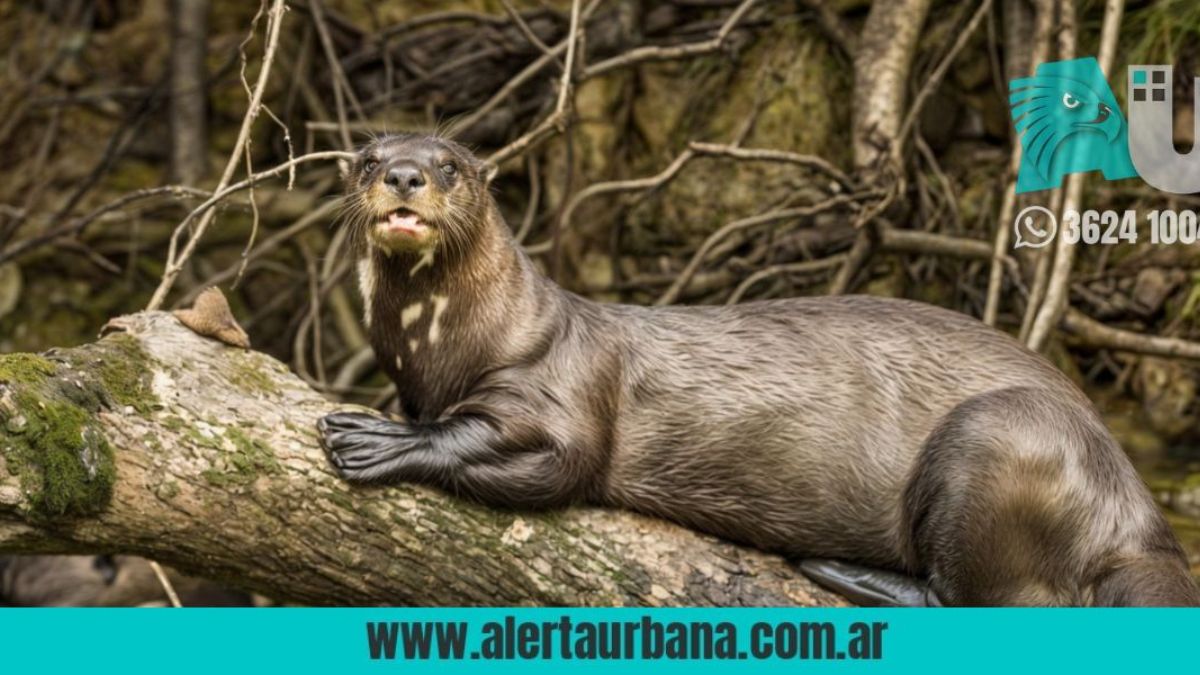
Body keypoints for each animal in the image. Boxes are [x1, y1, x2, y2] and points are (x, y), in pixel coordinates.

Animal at [319, 133, 1200, 607]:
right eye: (366, 157)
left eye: (449, 163)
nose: (404, 174)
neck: (448, 347)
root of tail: (1137, 517)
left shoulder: (556, 391)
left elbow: (554, 457)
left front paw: (380, 439)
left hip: (999, 438)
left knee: (977, 597)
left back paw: (846, 571)